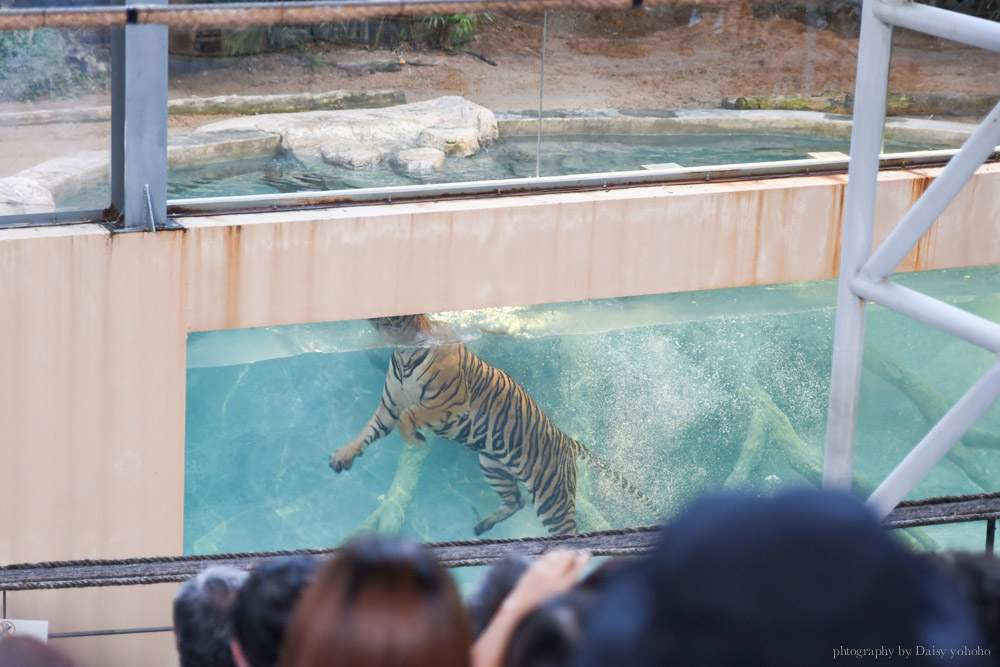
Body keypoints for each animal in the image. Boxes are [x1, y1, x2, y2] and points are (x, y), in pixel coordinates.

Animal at [328, 314, 664, 536]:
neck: (403, 353)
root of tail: (566, 438)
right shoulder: (389, 407)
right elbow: (367, 432)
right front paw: (342, 456)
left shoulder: (451, 402)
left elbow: (410, 417)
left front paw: (415, 438)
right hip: (492, 465)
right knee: (516, 500)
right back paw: (481, 526)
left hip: (551, 497)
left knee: (568, 530)